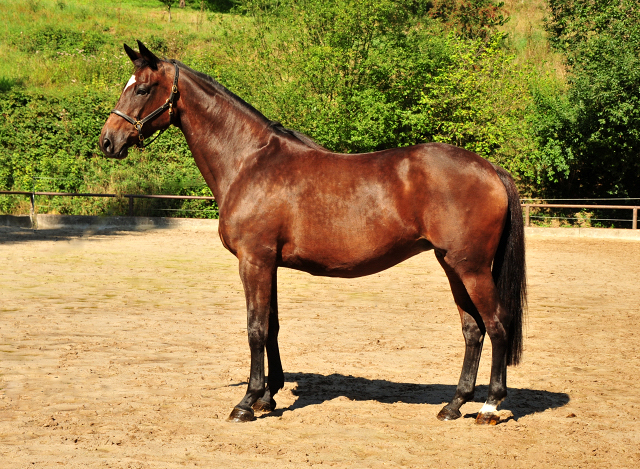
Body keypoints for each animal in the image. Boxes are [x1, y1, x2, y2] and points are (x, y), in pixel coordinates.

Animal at [99, 42, 524, 424]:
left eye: (141, 88)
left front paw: (246, 402)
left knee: (497, 325)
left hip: (471, 268)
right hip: (452, 265)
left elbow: (255, 329)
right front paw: (267, 397)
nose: (107, 141)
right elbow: (271, 327)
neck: (249, 161)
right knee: (473, 329)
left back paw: (489, 406)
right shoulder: (268, 264)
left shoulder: (254, 261)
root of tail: (490, 169)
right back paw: (454, 404)